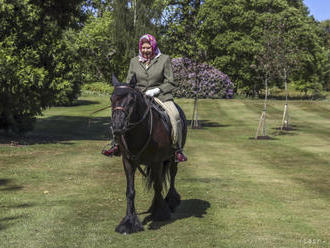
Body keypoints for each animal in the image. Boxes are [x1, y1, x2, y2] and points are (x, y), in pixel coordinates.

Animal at [111, 74, 187, 233]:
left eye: (132, 100)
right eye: (111, 99)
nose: (117, 126)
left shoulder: (156, 161)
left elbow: (158, 186)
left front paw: (160, 214)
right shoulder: (128, 162)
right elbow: (130, 191)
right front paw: (129, 222)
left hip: (173, 158)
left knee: (172, 175)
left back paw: (171, 201)